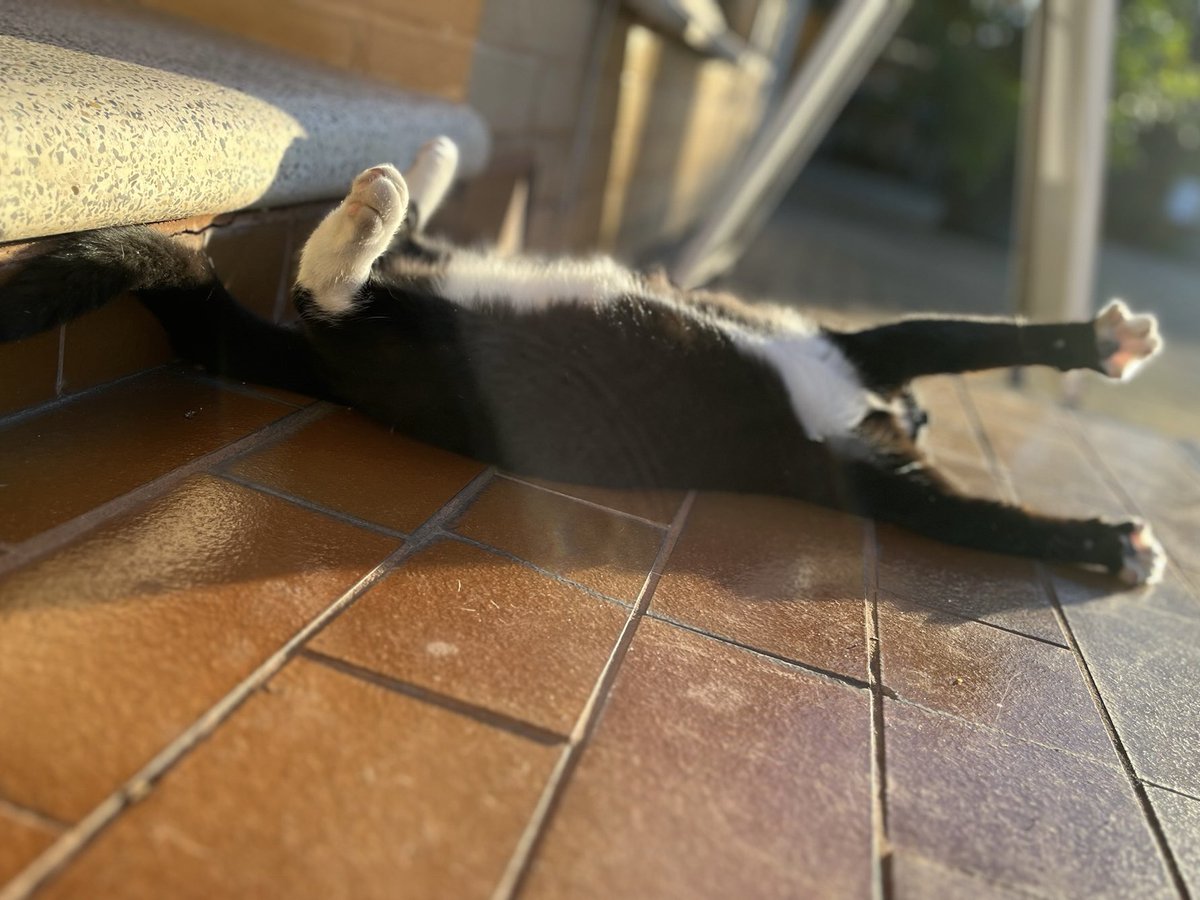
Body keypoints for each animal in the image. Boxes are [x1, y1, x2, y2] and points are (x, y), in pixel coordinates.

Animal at [0, 135, 1161, 585]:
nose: (907, 420)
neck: (860, 405)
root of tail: (323, 375)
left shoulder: (874, 428)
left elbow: (990, 496)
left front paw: (1108, 534)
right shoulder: (866, 358)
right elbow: (976, 339)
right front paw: (1106, 363)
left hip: (428, 338)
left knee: (352, 277)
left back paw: (407, 180)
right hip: (436, 345)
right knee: (328, 284)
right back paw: (392, 190)